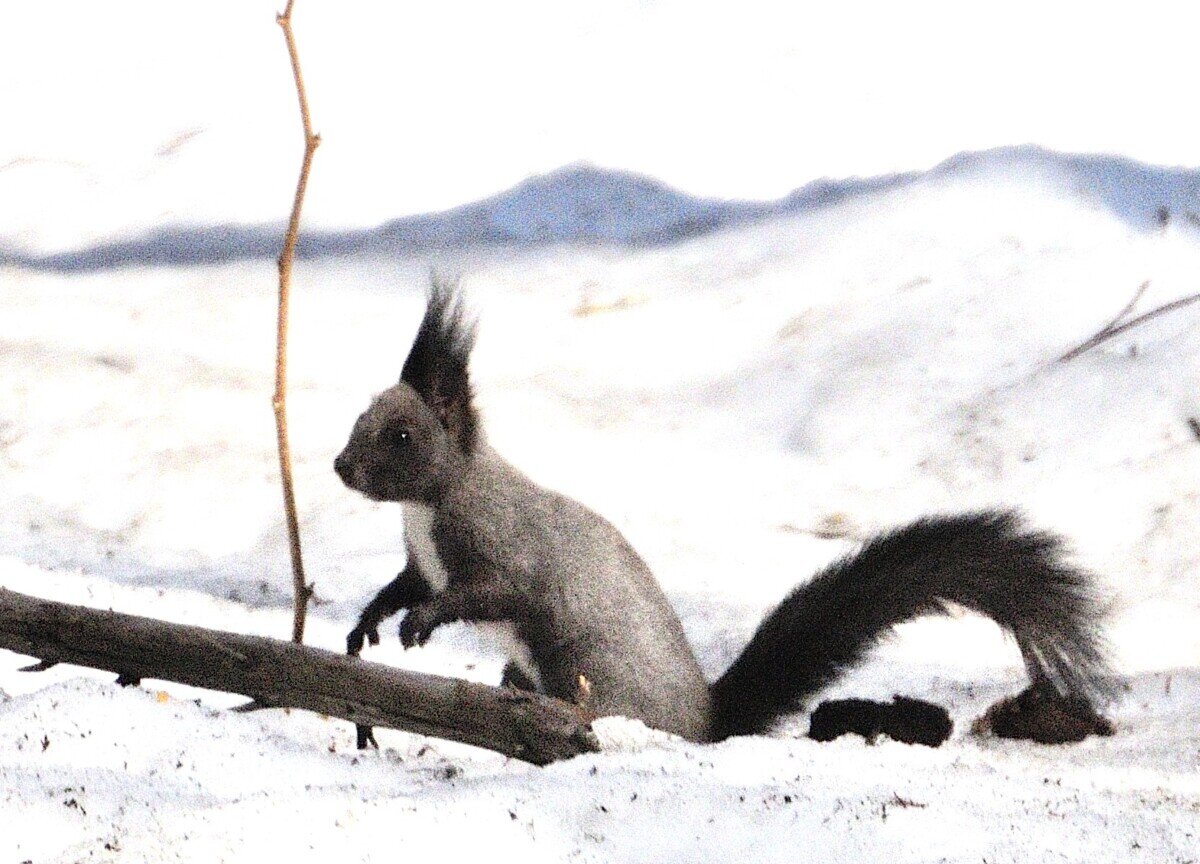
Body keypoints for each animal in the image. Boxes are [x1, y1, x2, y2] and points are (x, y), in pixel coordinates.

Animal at [331, 282, 1113, 744]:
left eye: (401, 437)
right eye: (362, 416)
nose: (341, 468)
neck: (428, 506)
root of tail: (707, 722)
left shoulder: (502, 545)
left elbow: (486, 592)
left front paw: (420, 623)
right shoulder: (423, 560)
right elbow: (406, 583)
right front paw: (370, 619)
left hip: (595, 680)